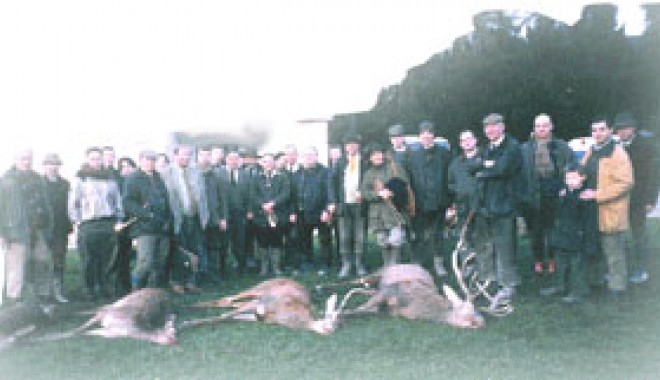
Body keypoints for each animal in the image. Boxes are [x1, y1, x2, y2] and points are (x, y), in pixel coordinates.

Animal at [31, 288, 177, 348]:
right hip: (119, 301)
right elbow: (76, 331)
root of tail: (164, 291)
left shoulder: (108, 333)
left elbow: (79, 333)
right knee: (98, 307)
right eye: (171, 333)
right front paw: (36, 338)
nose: (175, 342)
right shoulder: (105, 316)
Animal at [178, 278, 338, 334]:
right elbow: (223, 316)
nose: (330, 330)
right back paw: (190, 306)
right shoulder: (264, 302)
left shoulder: (260, 316)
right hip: (259, 289)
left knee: (230, 303)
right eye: (331, 319)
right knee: (228, 299)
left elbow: (227, 317)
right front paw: (184, 324)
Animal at [336, 264, 484, 330]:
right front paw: (337, 314)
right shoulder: (392, 289)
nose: (481, 323)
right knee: (357, 281)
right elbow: (358, 309)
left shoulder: (389, 310)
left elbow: (365, 309)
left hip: (377, 287)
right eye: (469, 311)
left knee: (359, 289)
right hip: (380, 272)